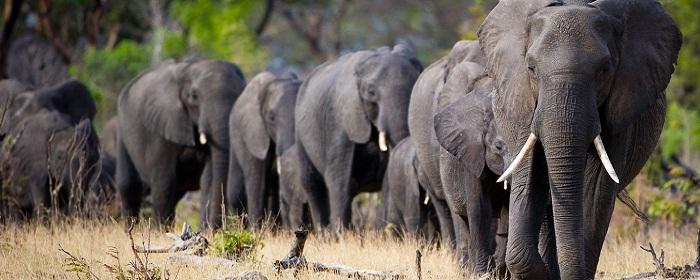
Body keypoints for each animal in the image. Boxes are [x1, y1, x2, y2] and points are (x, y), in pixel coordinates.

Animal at [115, 59, 246, 228]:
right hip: (122, 132)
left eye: (240, 93)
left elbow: (208, 177)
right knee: (129, 185)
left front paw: (205, 230)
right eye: (194, 96)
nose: (214, 229)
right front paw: (161, 231)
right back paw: (131, 229)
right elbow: (164, 179)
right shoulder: (160, 127)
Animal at [294, 43, 424, 231]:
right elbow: (339, 175)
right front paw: (341, 235)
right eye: (371, 93)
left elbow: (387, 177)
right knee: (313, 184)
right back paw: (323, 234)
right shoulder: (340, 118)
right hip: (300, 132)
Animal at [478, 1, 680, 278]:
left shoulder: (620, 111)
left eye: (604, 70)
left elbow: (595, 192)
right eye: (531, 68)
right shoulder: (522, 103)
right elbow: (530, 178)